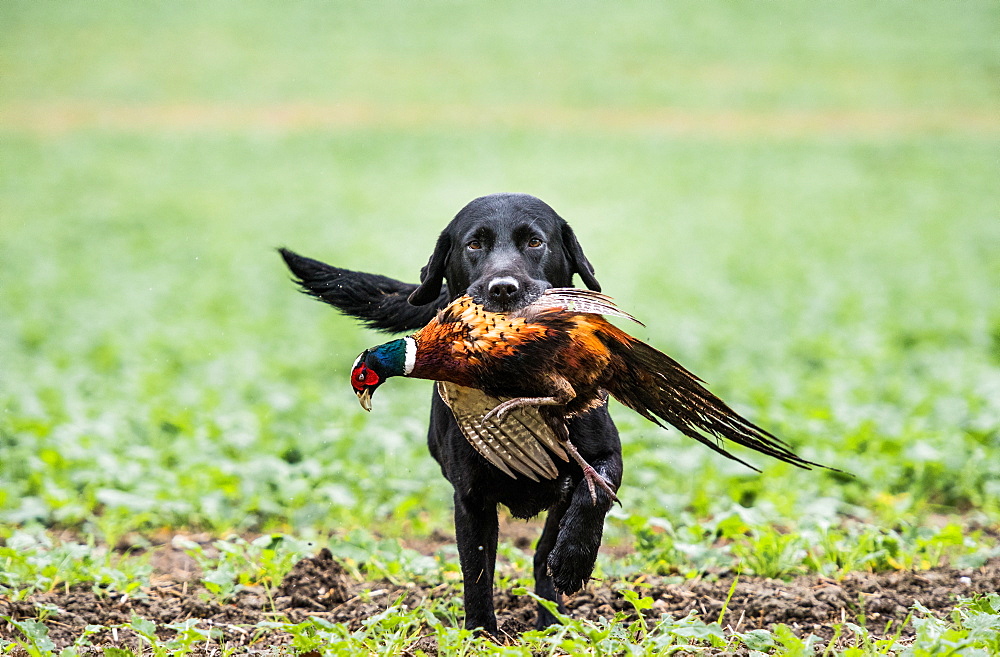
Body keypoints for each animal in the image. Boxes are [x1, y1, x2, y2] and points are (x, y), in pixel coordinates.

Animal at [278, 192, 620, 632]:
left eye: (535, 242)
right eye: (473, 244)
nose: (503, 289)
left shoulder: (604, 455)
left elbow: (590, 498)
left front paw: (571, 565)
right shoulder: (471, 496)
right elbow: (477, 570)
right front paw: (482, 634)